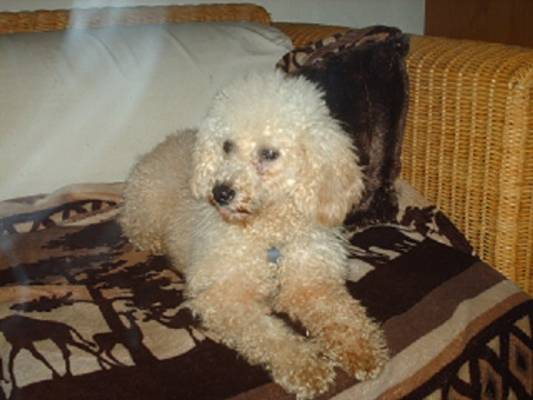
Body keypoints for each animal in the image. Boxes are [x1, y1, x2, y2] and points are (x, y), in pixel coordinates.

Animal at [120, 71, 388, 399]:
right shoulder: (225, 298)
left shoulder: (313, 286)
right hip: (143, 210)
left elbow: (342, 316)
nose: (220, 193)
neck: (269, 236)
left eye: (269, 154)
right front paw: (305, 367)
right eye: (227, 146)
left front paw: (363, 350)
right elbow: (269, 335)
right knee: (135, 228)